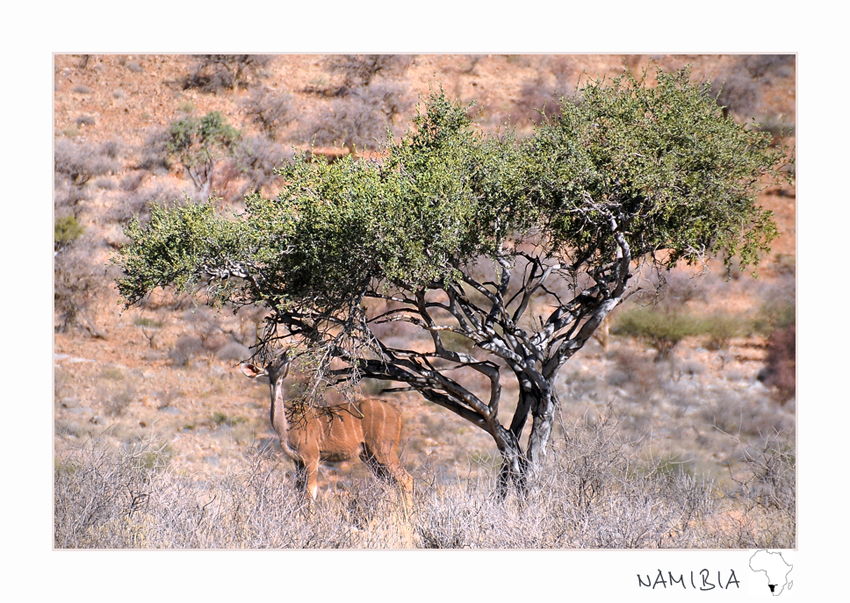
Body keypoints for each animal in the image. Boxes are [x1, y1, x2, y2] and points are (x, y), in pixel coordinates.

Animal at [240, 352, 412, 502]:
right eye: (272, 361)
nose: (287, 353)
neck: (285, 427)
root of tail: (398, 414)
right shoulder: (298, 461)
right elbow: (299, 493)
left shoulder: (311, 456)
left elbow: (310, 493)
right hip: (369, 456)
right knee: (390, 484)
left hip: (383, 449)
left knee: (405, 479)